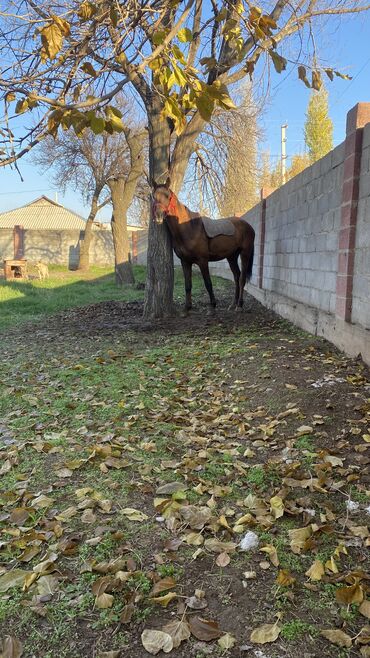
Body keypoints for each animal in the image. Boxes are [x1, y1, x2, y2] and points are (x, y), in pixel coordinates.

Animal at [152, 178, 254, 312]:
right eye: (153, 196)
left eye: (167, 196)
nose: (158, 216)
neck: (188, 227)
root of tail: (249, 226)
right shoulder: (185, 262)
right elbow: (188, 285)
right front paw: (187, 307)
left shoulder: (203, 261)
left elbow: (208, 283)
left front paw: (212, 306)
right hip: (231, 256)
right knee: (236, 276)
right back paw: (233, 304)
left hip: (245, 253)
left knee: (242, 278)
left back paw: (239, 305)